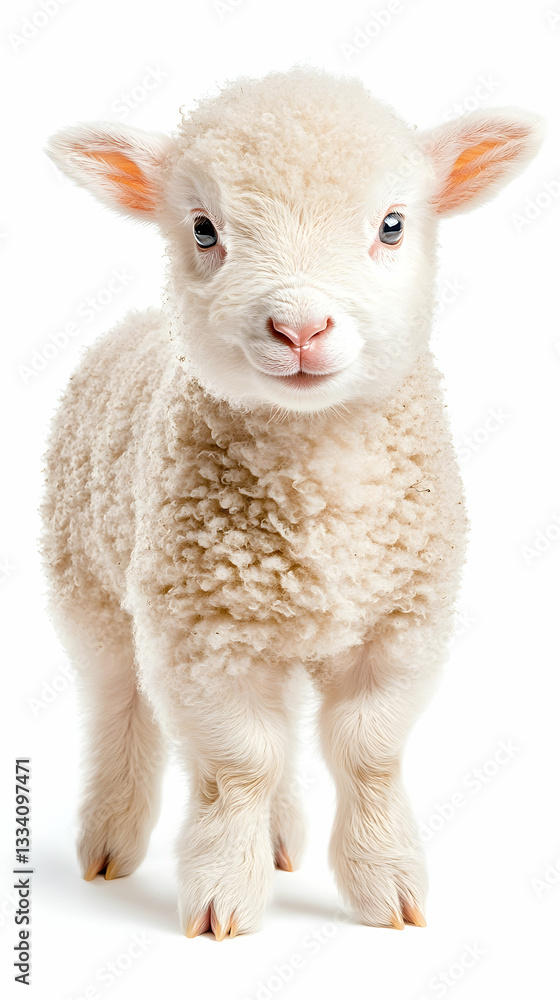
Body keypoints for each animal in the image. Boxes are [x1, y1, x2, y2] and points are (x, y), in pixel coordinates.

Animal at [41, 66, 544, 939]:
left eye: (391, 225)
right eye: (204, 230)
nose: (301, 328)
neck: (318, 480)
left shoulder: (401, 624)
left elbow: (366, 750)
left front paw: (385, 884)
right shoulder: (201, 634)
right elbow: (241, 761)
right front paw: (221, 893)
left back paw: (277, 841)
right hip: (91, 589)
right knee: (119, 705)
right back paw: (110, 840)